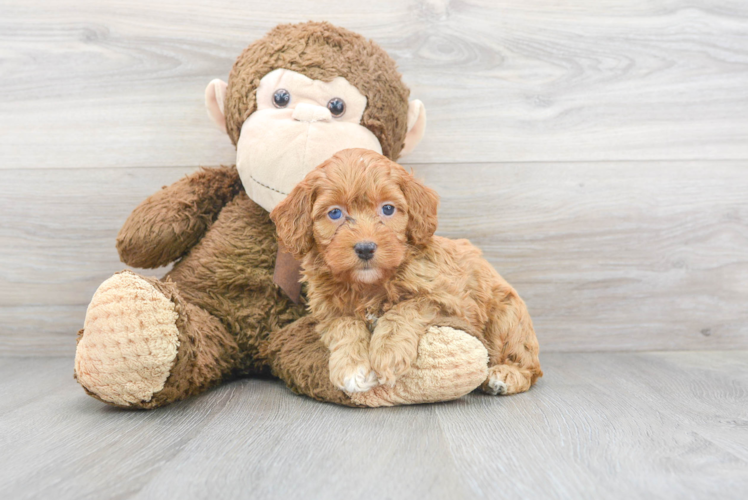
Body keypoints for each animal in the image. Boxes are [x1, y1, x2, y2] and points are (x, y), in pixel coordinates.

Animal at [272, 147, 540, 394]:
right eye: (335, 213)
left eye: (388, 209)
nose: (365, 248)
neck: (369, 285)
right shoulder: (329, 312)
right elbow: (345, 325)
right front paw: (352, 367)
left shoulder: (448, 301)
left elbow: (404, 309)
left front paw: (387, 353)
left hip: (507, 319)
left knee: (527, 364)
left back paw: (505, 376)